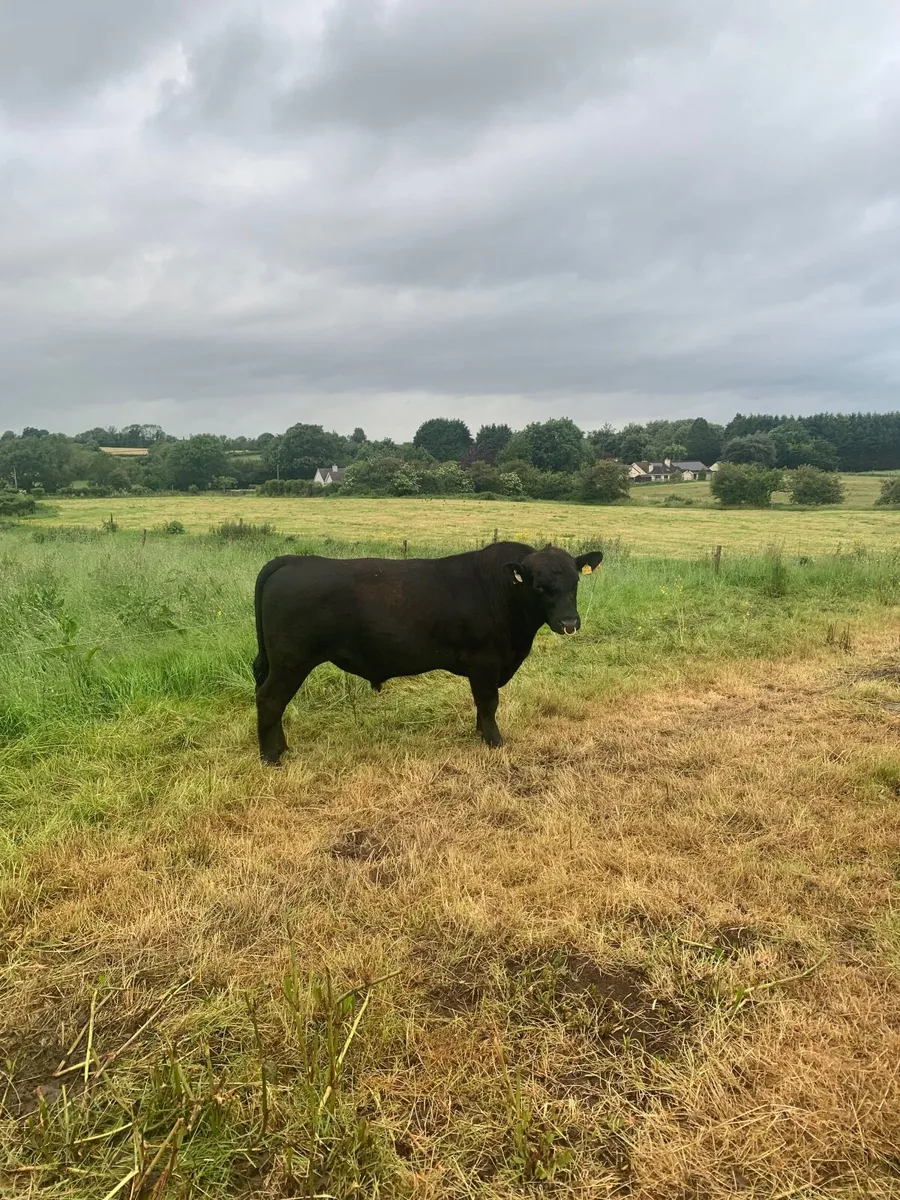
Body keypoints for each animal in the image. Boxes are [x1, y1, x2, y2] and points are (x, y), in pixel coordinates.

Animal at [252, 540, 603, 764]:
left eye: (574, 583)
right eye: (539, 586)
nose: (569, 623)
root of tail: (293, 559)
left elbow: (482, 705)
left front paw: (480, 732)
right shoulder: (485, 661)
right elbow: (489, 702)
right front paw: (494, 741)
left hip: (276, 661)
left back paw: (280, 748)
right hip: (291, 661)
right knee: (270, 699)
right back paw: (270, 757)